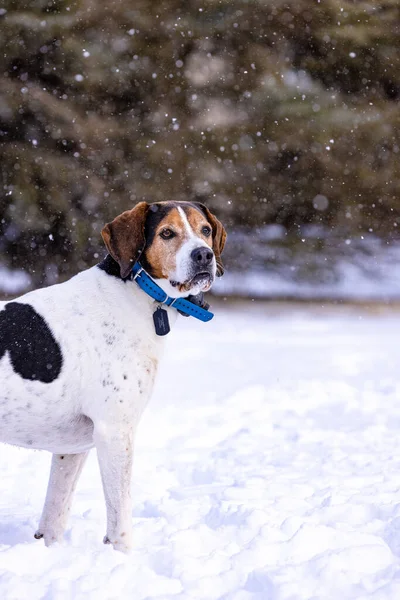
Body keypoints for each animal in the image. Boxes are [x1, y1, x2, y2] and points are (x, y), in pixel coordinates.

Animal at [0, 200, 227, 552]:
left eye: (205, 230)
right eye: (167, 233)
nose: (203, 255)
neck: (135, 289)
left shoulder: (72, 448)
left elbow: (54, 517)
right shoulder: (114, 433)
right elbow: (120, 521)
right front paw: (124, 559)